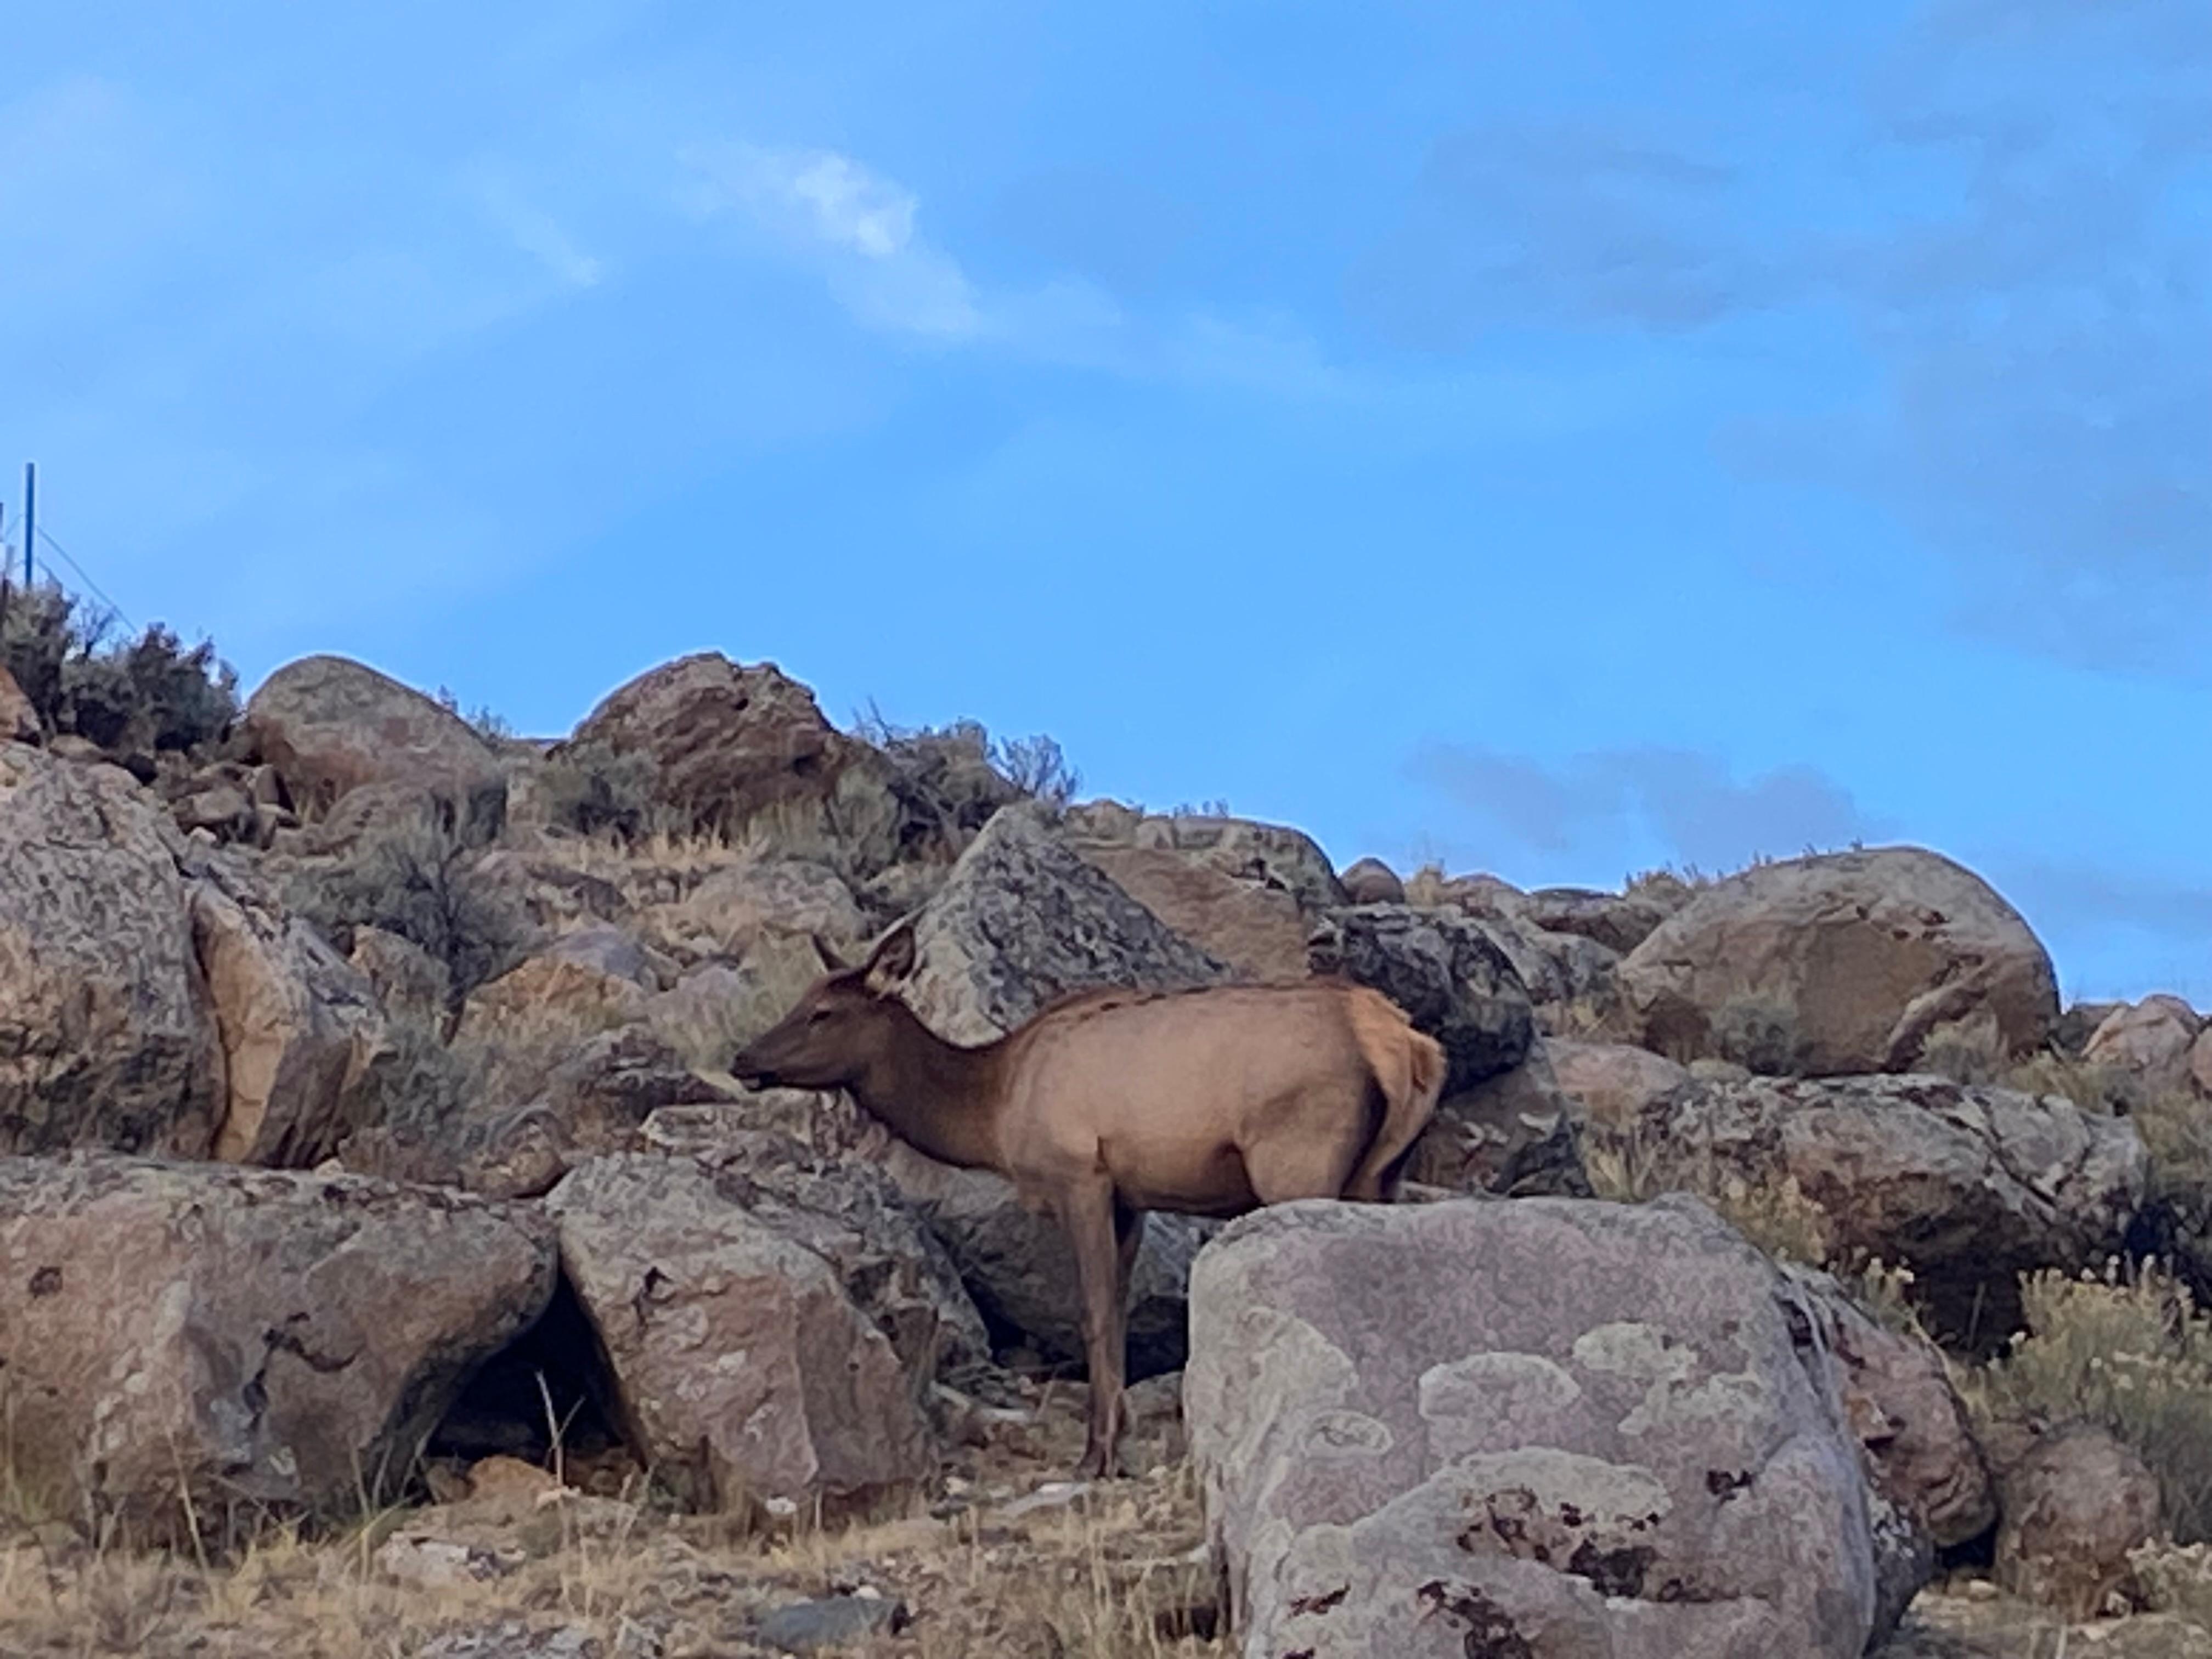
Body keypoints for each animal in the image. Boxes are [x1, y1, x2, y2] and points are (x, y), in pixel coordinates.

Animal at [727, 919, 1448, 1479]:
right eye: (802, 998)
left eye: (824, 1013)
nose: (743, 1059)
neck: (993, 1110)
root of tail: (1406, 1045)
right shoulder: (1133, 1198)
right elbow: (1120, 1315)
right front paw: (1113, 1442)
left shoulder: (1082, 1175)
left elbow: (1094, 1315)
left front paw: (1095, 1457)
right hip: (1381, 1175)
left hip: (1298, 1157)